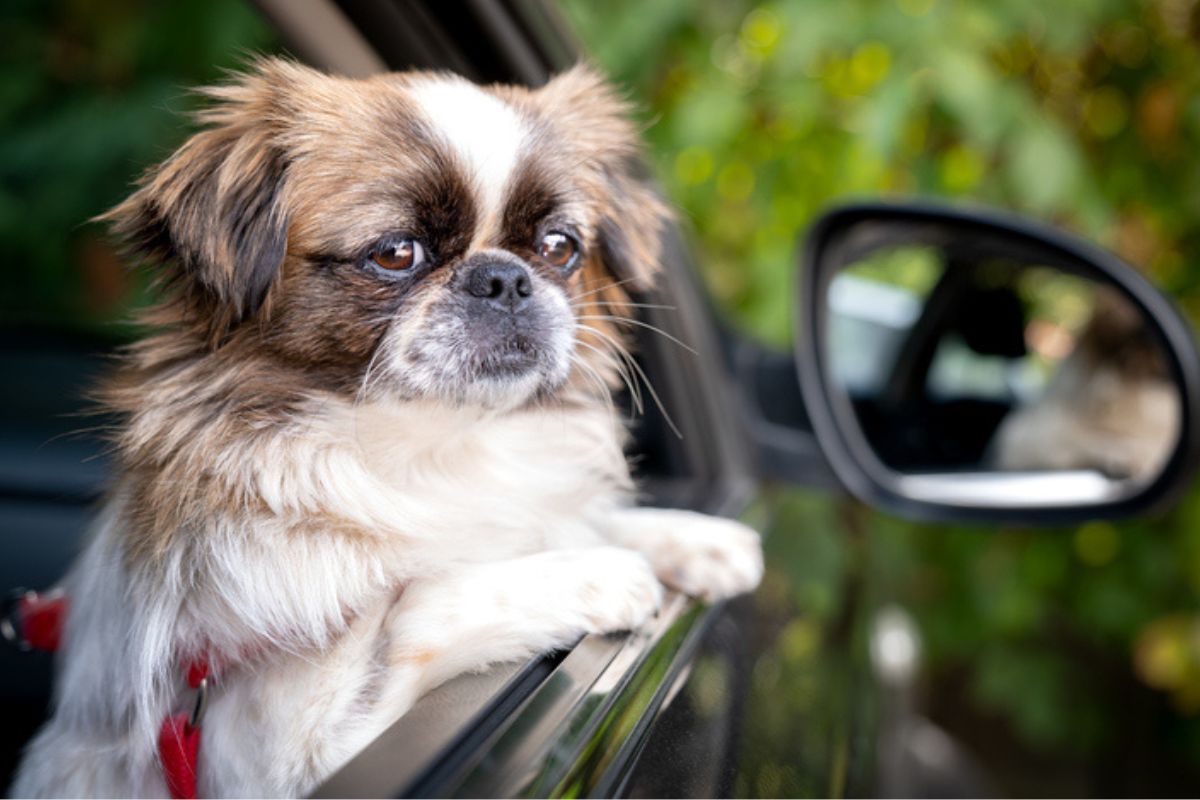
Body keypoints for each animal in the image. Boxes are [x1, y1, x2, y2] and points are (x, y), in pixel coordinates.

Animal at [11, 59, 758, 796]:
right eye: (396, 253)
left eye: (558, 247)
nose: (504, 279)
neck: (433, 446)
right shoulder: (286, 744)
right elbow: (420, 601)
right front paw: (596, 576)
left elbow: (575, 520)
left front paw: (697, 540)